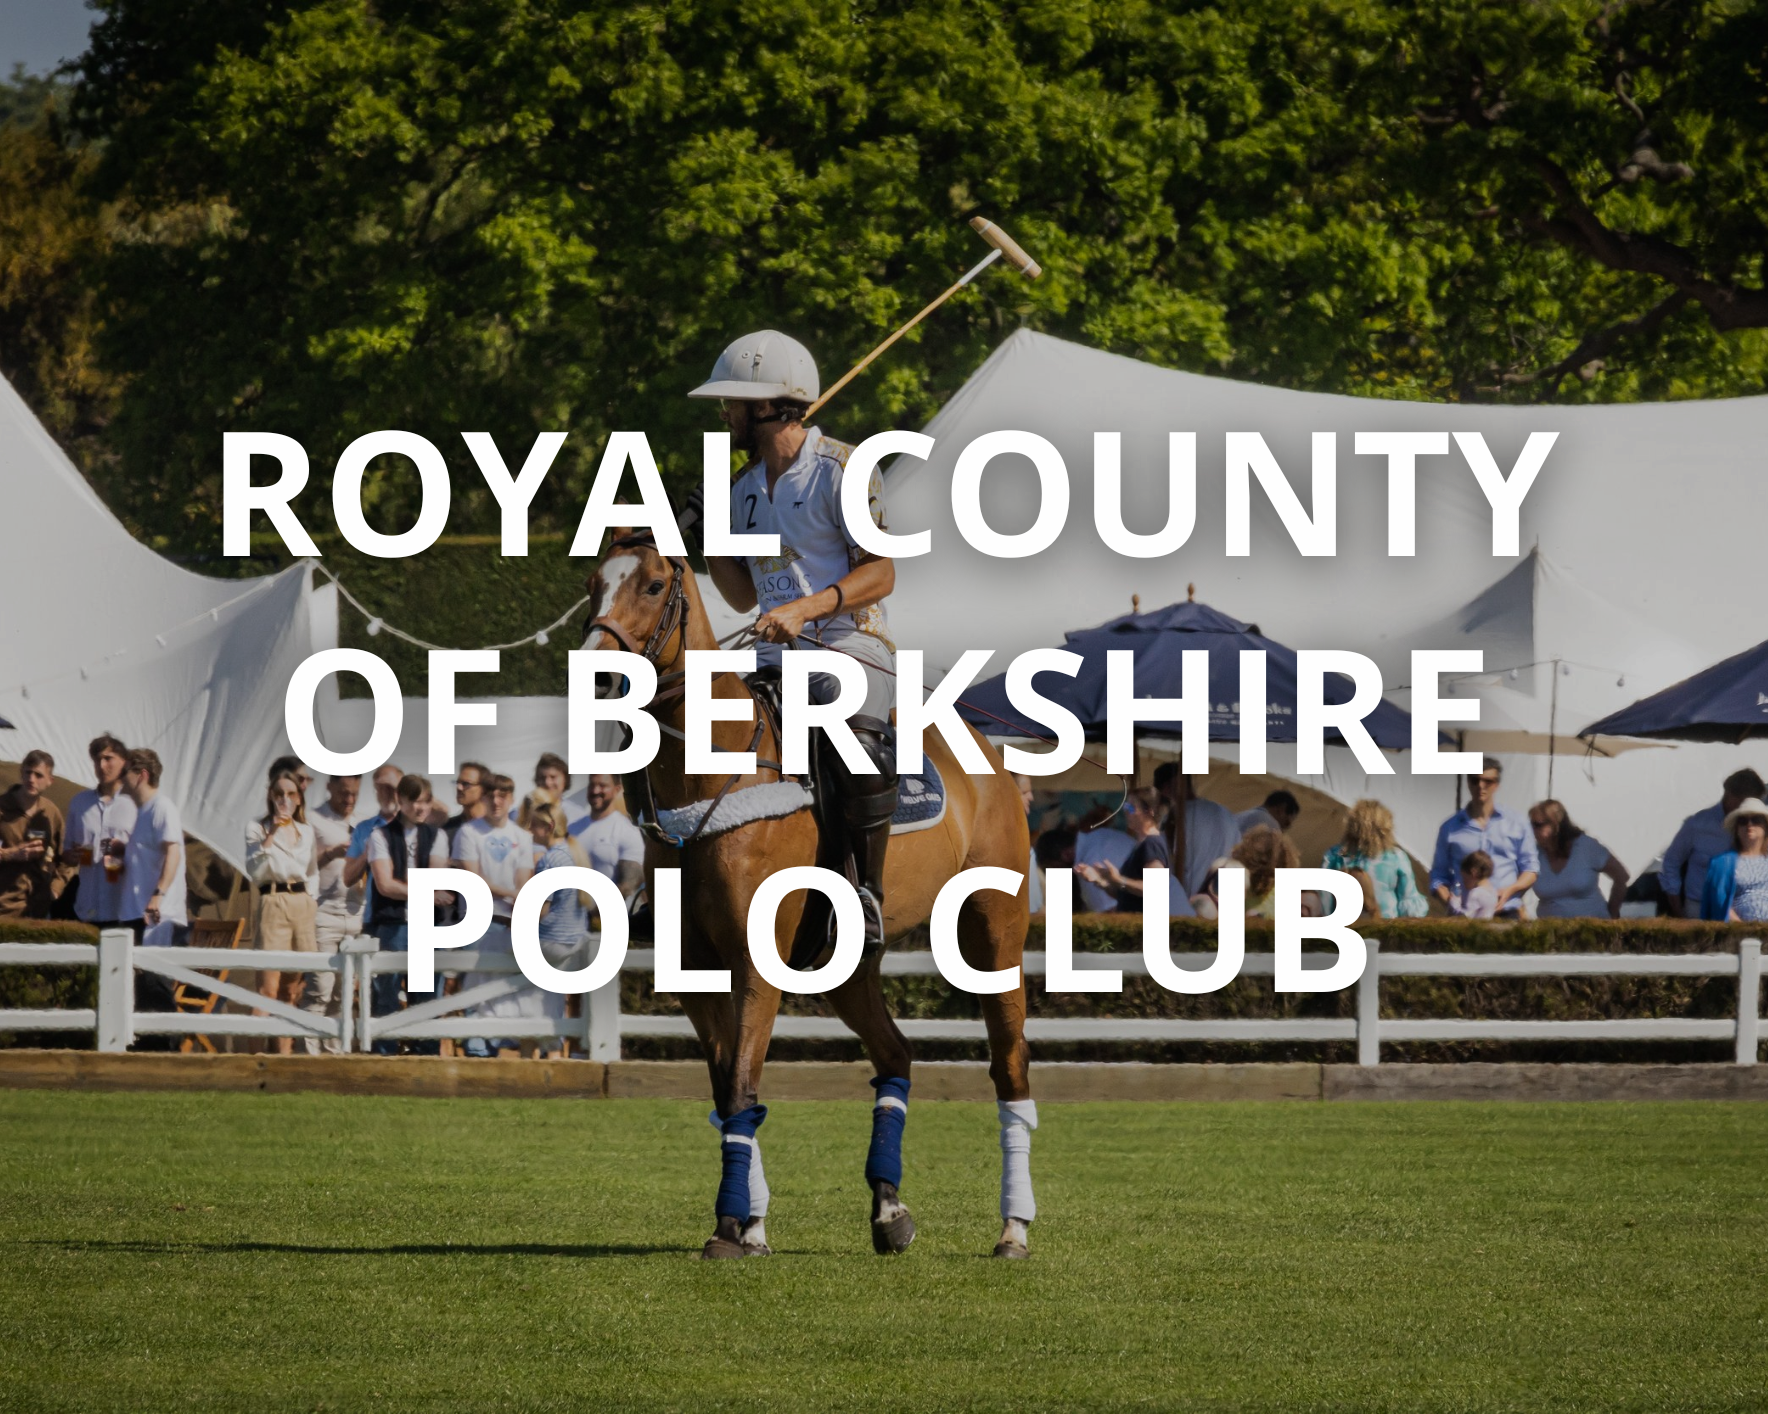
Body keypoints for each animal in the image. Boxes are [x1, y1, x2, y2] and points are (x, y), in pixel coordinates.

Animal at [586, 533, 1039, 1258]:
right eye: (592, 583)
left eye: (654, 585)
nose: (600, 678)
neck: (710, 774)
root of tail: (990, 753)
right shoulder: (694, 968)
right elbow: (727, 1087)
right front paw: (746, 1224)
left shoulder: (756, 961)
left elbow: (743, 1082)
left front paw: (732, 1226)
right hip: (846, 962)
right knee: (895, 1054)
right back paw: (889, 1210)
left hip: (993, 928)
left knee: (1010, 1064)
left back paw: (1013, 1227)